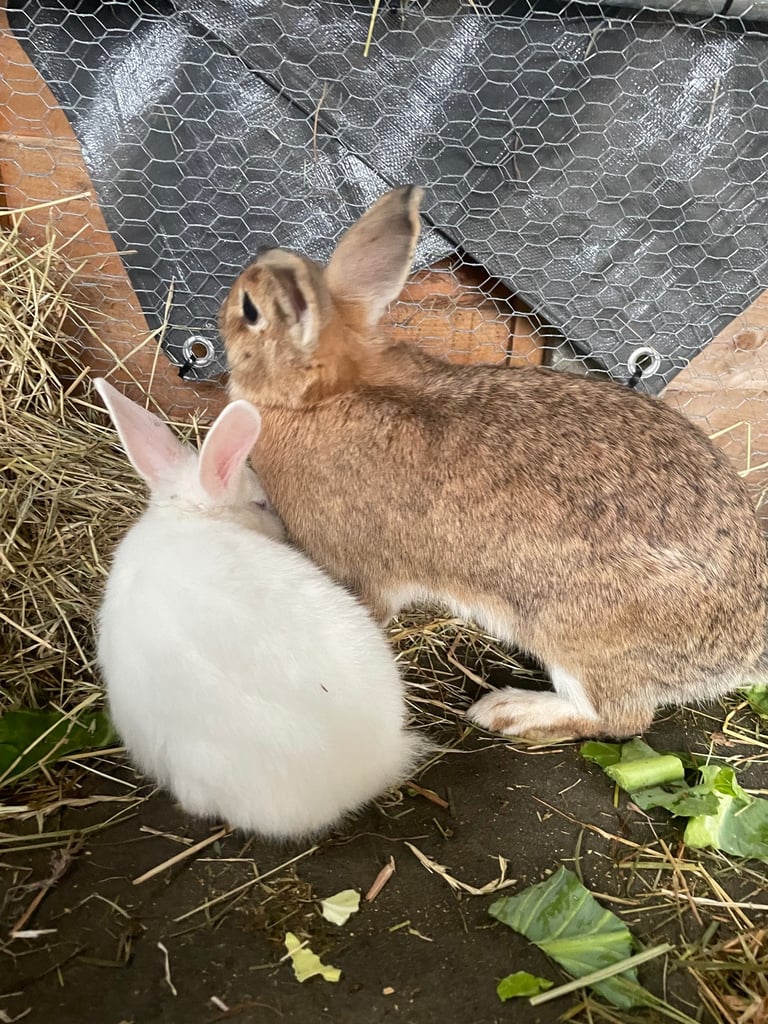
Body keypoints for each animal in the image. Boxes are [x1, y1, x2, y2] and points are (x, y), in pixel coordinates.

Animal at [218, 185, 768, 743]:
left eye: (250, 310)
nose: (234, 293)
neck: (323, 398)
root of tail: (744, 647)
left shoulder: (361, 572)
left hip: (574, 635)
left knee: (616, 717)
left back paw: (508, 710)